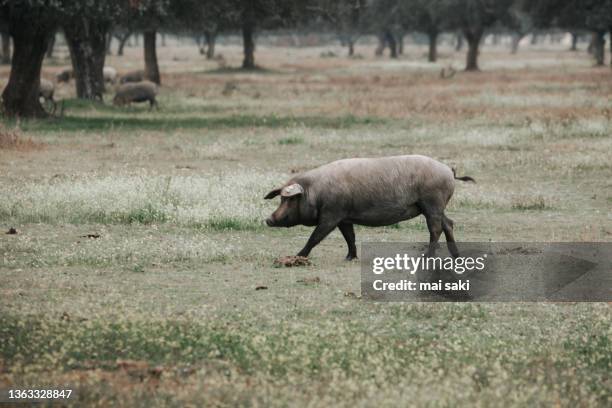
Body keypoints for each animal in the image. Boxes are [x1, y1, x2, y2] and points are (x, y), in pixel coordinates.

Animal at [262, 155, 474, 260]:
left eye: (289, 199)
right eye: (281, 198)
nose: (268, 219)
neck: (314, 191)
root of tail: (449, 170)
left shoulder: (332, 214)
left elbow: (315, 237)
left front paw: (298, 256)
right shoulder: (344, 217)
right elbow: (350, 237)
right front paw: (350, 258)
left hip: (432, 203)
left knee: (436, 228)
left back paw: (427, 256)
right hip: (436, 207)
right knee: (449, 223)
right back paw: (456, 255)